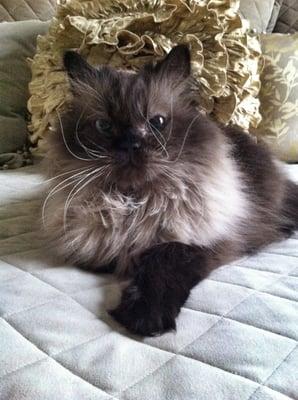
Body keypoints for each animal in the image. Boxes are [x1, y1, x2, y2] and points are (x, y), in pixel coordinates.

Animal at [42, 45, 298, 336]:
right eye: (104, 127)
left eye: (157, 122)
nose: (131, 144)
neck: (132, 205)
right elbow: (102, 257)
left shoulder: (196, 245)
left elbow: (161, 263)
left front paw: (144, 318)